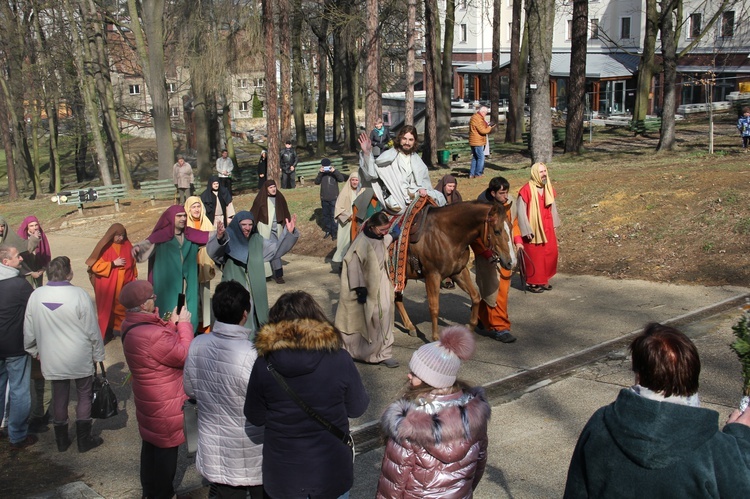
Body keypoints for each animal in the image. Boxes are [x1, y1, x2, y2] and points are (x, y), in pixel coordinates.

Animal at [394, 201, 516, 342]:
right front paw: (435, 338)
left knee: (397, 299)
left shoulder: (459, 272)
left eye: (511, 227)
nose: (512, 262)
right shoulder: (432, 275)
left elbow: (475, 296)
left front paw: (470, 326)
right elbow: (434, 307)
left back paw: (410, 327)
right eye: (497, 231)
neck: (446, 235)